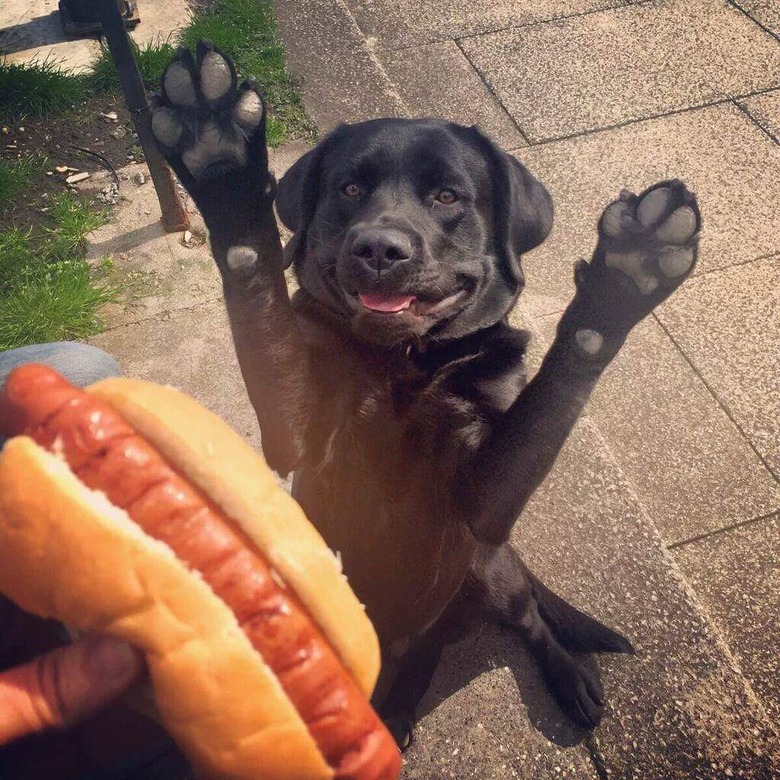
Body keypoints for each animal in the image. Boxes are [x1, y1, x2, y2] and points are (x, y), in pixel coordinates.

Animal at [151, 44, 700, 744]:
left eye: (447, 196)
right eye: (350, 190)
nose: (381, 248)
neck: (403, 364)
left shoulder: (484, 497)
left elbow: (554, 389)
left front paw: (629, 274)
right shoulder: (295, 427)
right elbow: (258, 292)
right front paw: (218, 158)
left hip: (489, 569)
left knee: (523, 618)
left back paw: (556, 679)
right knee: (416, 650)